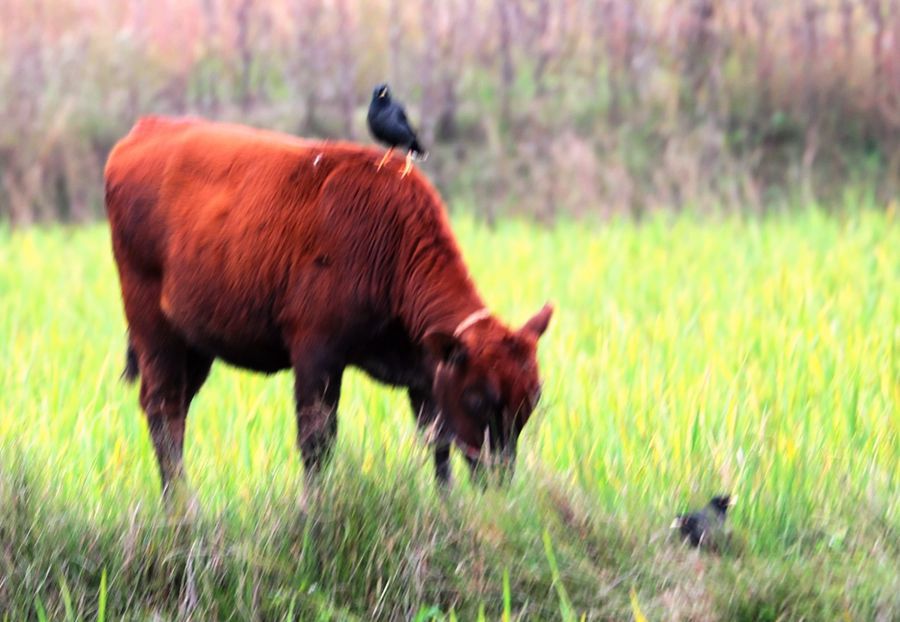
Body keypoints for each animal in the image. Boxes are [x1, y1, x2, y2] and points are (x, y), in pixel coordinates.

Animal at [106, 117, 556, 498]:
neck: (392, 244)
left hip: (196, 346)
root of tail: (145, 130)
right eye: (479, 398)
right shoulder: (316, 356)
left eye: (530, 401)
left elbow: (437, 445)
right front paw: (313, 511)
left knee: (176, 410)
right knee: (163, 409)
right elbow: (317, 442)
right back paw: (182, 509)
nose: (498, 477)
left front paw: (449, 509)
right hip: (153, 330)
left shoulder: (425, 377)